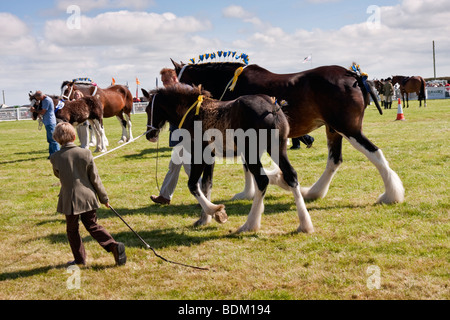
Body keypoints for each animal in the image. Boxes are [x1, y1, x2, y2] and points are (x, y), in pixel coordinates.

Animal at [142, 85, 314, 234]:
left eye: (147, 109)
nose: (150, 135)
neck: (192, 113)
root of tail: (272, 107)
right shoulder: (210, 157)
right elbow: (206, 184)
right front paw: (206, 218)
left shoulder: (199, 155)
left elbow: (193, 185)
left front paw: (214, 210)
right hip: (277, 148)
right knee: (291, 175)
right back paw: (304, 224)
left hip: (251, 153)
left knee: (262, 180)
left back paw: (250, 224)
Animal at [172, 60, 404, 205]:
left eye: (176, 80)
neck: (232, 83)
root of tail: (354, 75)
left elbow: (247, 166)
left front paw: (247, 193)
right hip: (333, 129)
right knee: (335, 160)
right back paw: (314, 192)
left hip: (348, 128)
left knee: (375, 153)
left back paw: (391, 195)